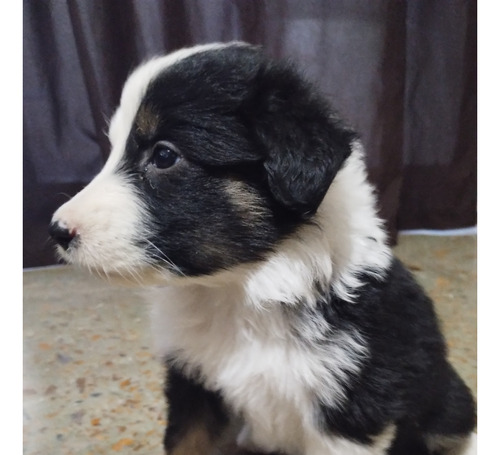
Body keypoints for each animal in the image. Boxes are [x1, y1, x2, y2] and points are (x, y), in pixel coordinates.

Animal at [49, 42, 476, 455]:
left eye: (164, 155)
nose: (57, 230)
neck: (239, 292)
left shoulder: (348, 412)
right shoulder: (192, 382)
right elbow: (185, 442)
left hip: (447, 399)